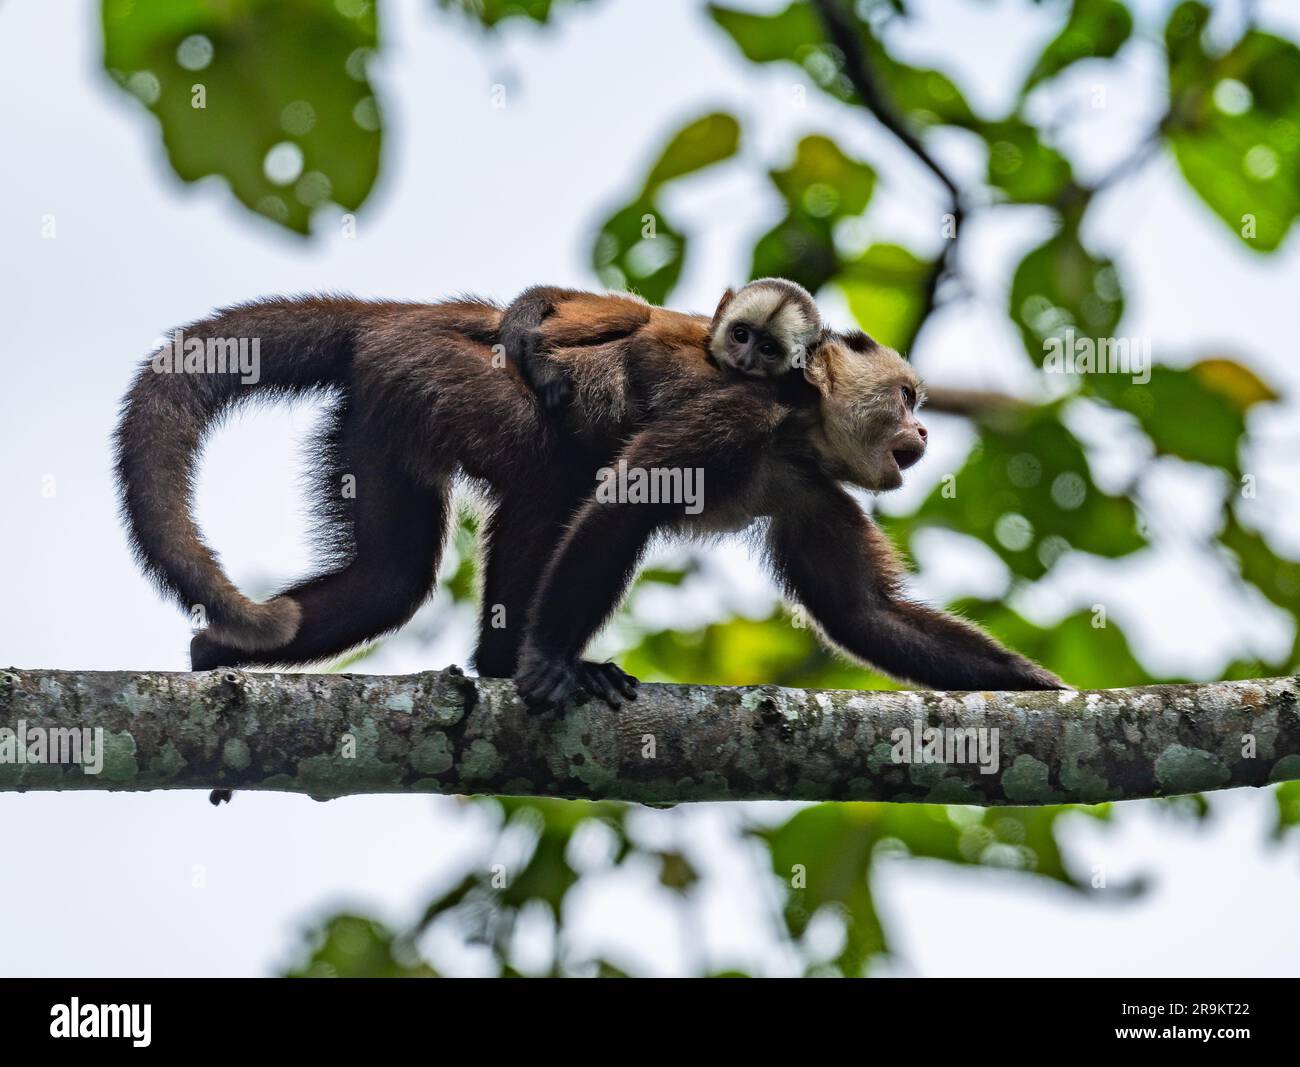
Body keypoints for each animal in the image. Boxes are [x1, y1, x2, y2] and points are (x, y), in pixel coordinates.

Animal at [114, 291, 1066, 732]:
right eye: (906, 395)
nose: (922, 431)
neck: (798, 427)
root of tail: (403, 316)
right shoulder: (742, 412)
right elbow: (623, 503)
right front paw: (546, 666)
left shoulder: (812, 486)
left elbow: (862, 610)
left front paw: (1035, 685)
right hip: (445, 375)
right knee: (554, 474)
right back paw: (513, 661)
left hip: (382, 402)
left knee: (391, 578)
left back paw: (219, 650)